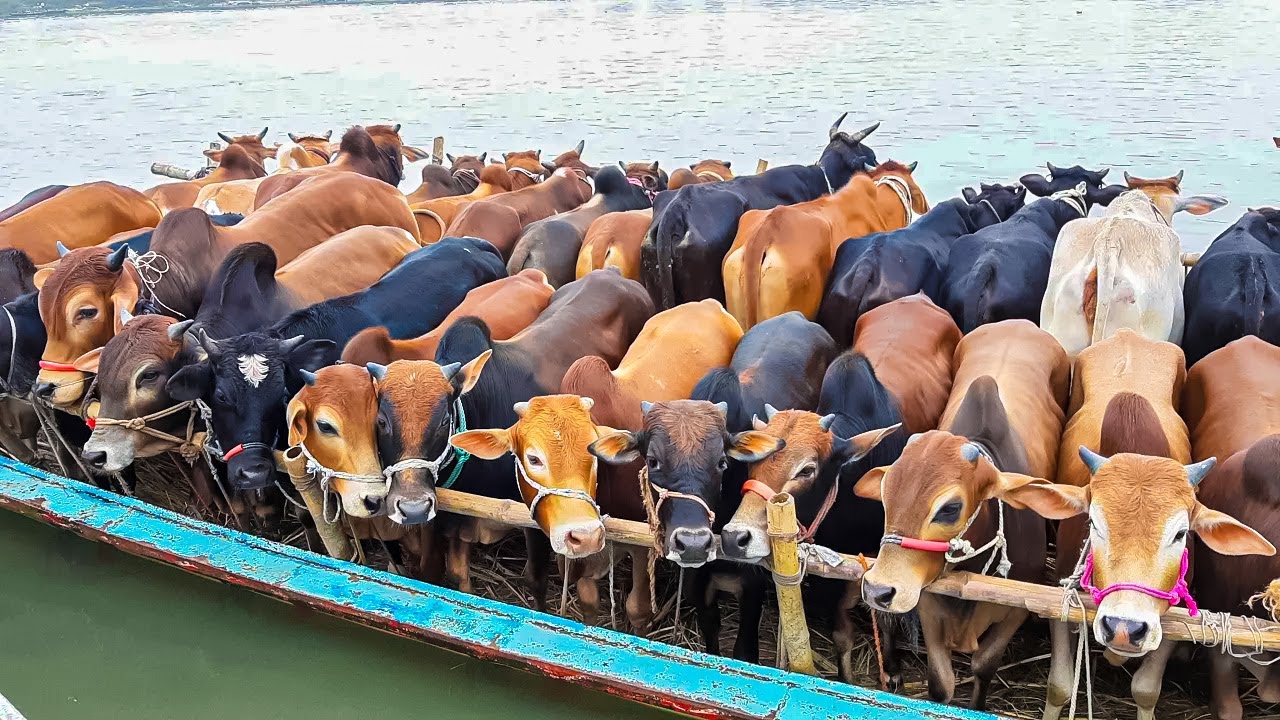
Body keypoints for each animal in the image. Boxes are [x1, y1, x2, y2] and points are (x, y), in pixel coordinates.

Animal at [720, 352, 903, 682]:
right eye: (753, 462)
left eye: (807, 470)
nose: (735, 538)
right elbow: (841, 633)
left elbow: (886, 616)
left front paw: (893, 670)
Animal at [854, 319, 1069, 710]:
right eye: (886, 494)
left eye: (950, 508)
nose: (878, 589)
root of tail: (1021, 322)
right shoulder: (928, 603)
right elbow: (941, 683)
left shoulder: (1017, 610)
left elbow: (984, 665)